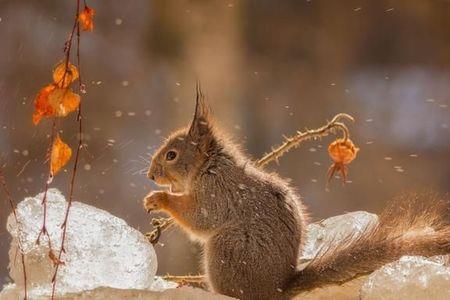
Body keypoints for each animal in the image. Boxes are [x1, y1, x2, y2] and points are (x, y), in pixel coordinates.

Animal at [144, 85, 450, 298]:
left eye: (171, 155)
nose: (150, 175)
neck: (209, 166)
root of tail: (276, 289)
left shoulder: (218, 193)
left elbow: (199, 217)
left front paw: (158, 199)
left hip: (227, 248)